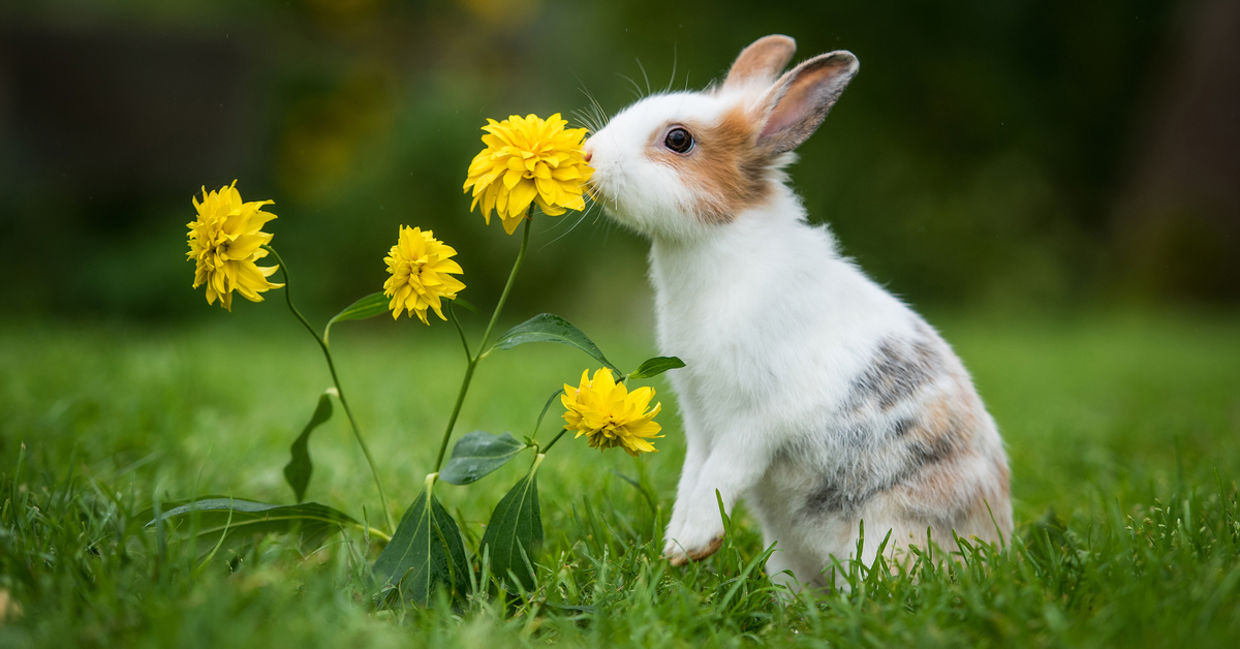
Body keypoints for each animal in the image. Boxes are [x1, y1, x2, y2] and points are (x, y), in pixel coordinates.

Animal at [582, 34, 1012, 589]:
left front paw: (688, 545)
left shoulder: (756, 418)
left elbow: (722, 474)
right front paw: (677, 546)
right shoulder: (699, 417)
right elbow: (694, 474)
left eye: (678, 139)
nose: (588, 154)